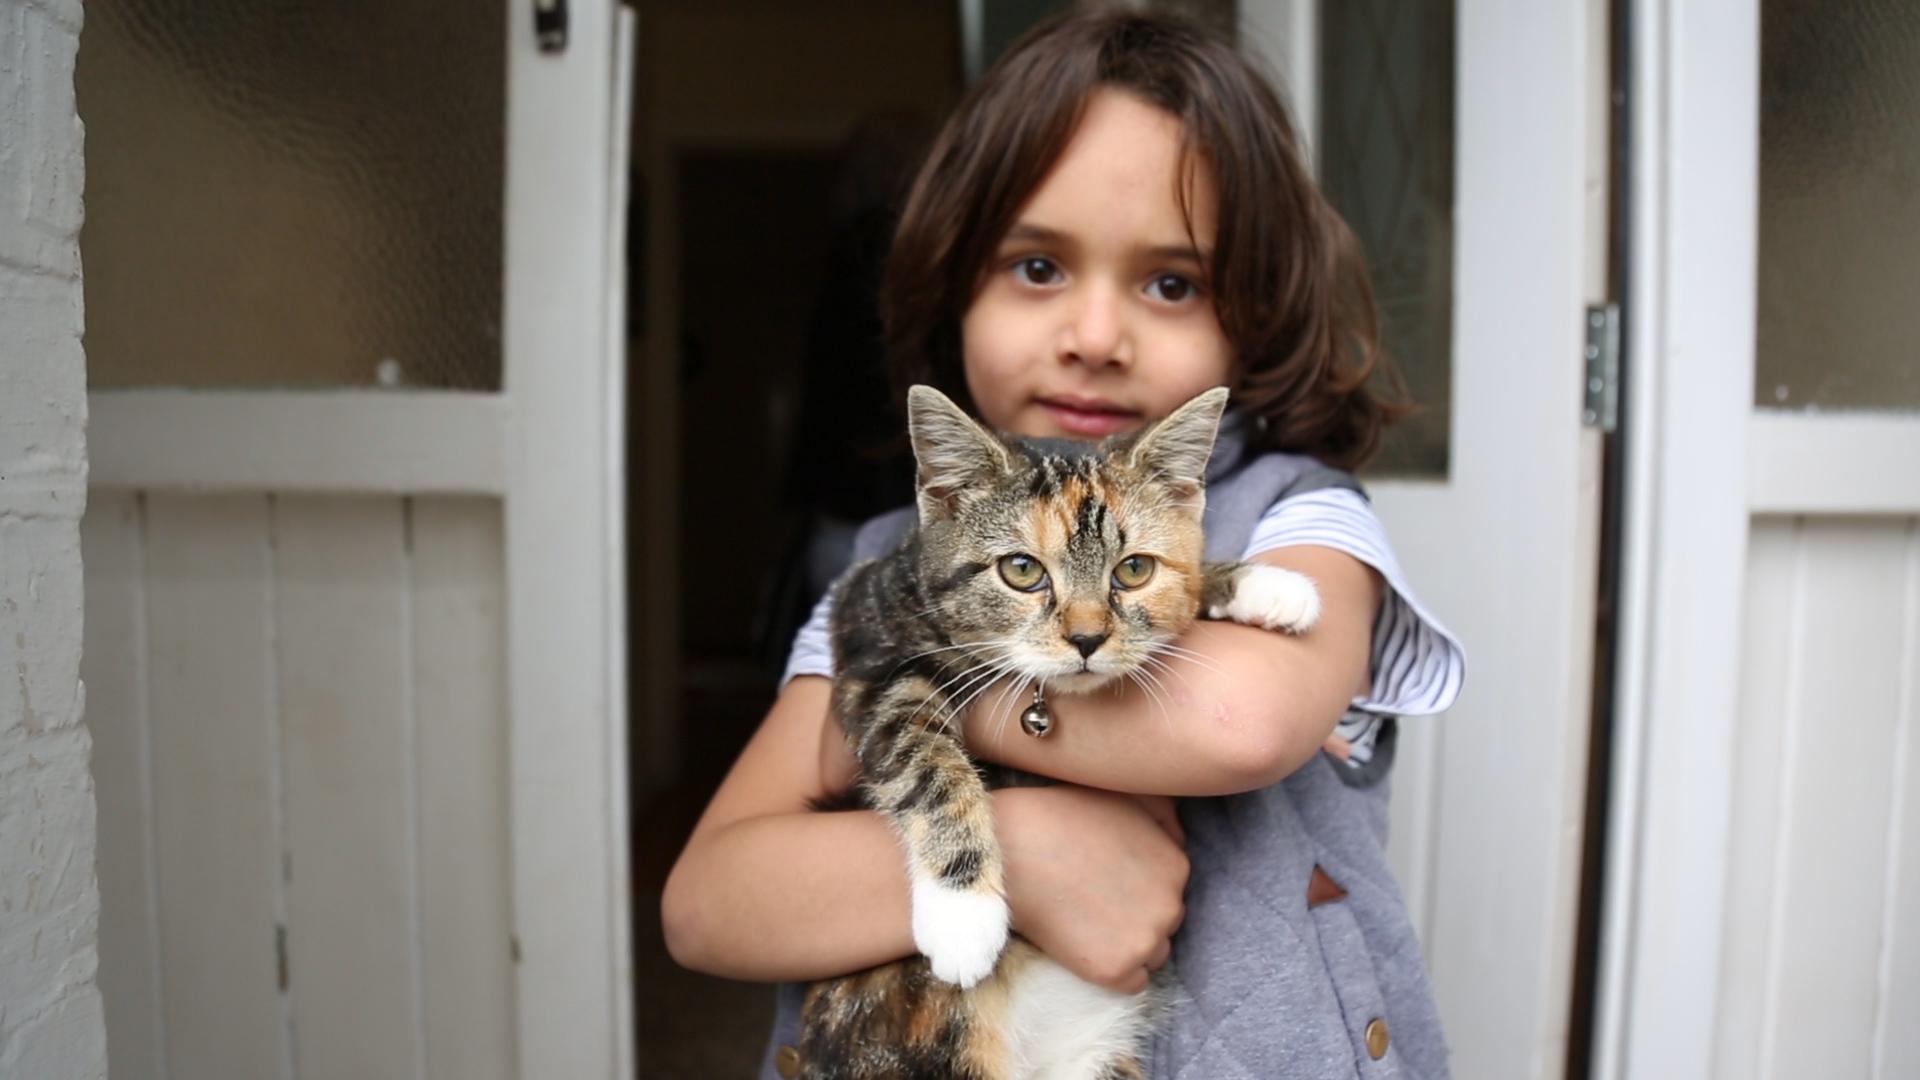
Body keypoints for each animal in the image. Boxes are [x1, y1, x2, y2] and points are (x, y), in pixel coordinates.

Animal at [802, 386, 1328, 1076]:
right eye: (1022, 570)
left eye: (1134, 569)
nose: (1086, 638)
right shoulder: (871, 648)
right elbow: (924, 759)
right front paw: (962, 911)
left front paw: (1262, 583)